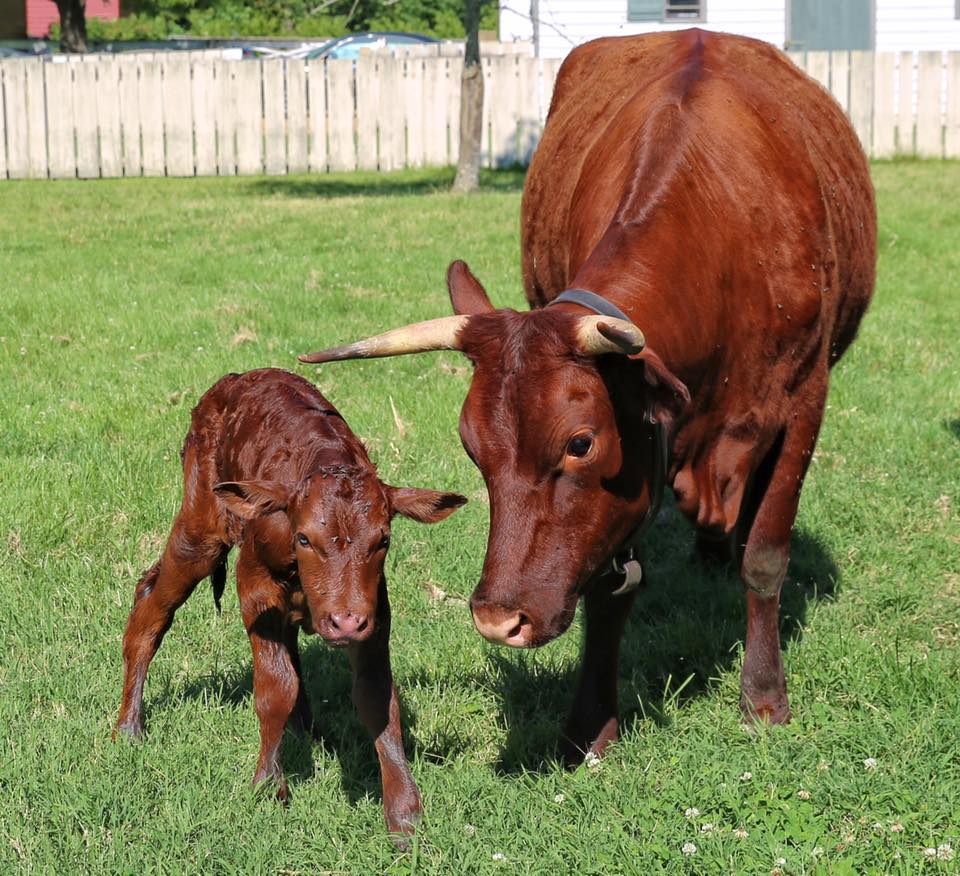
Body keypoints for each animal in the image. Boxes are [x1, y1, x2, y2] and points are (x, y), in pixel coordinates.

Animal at [114, 368, 466, 836]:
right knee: (152, 600)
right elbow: (276, 687)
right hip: (202, 527)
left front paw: (404, 812)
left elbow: (377, 697)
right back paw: (128, 726)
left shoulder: (374, 611)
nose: (344, 623)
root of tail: (236, 378)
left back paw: (304, 731)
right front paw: (269, 784)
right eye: (303, 538)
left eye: (383, 541)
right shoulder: (255, 589)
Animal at [298, 29, 876, 762]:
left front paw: (765, 698)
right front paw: (590, 722)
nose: (498, 620)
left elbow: (767, 557)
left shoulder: (803, 403)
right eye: (472, 449)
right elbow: (611, 586)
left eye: (579, 443)